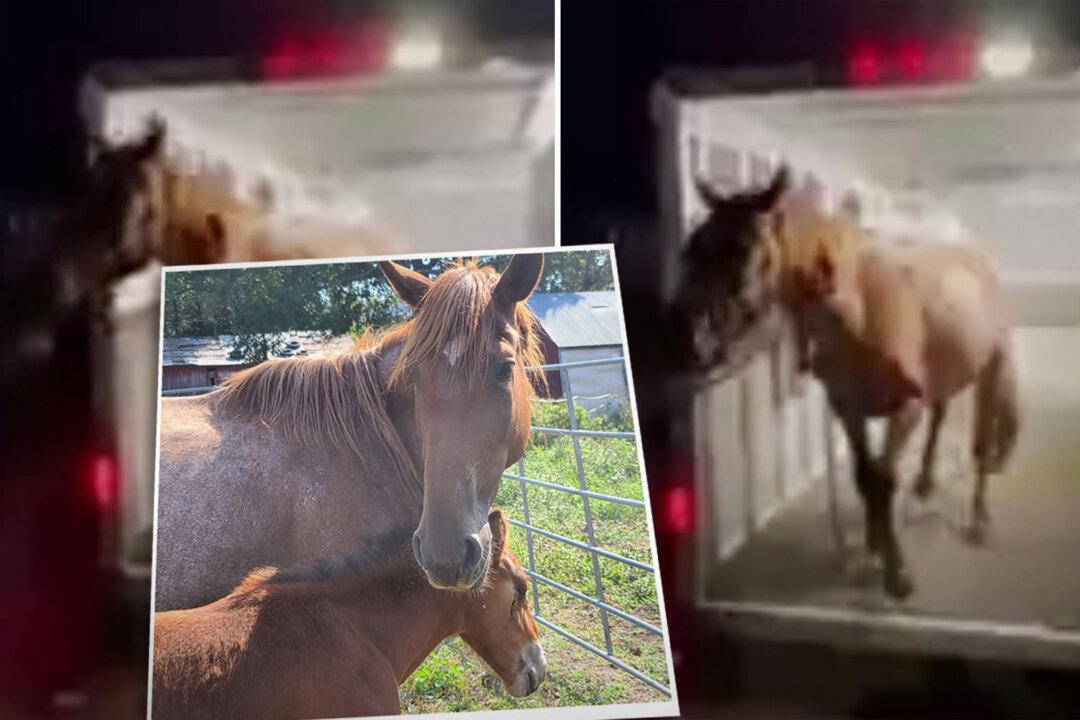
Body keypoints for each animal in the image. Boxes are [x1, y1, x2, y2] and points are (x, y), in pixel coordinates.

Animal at [676, 167, 1019, 599]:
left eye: (742, 248)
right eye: (693, 246)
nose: (692, 343)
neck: (859, 311)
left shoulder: (905, 408)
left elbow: (884, 480)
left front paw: (897, 573)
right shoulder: (848, 408)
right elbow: (864, 476)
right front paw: (873, 548)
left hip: (993, 365)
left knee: (981, 444)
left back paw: (978, 519)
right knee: (940, 414)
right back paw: (925, 483)